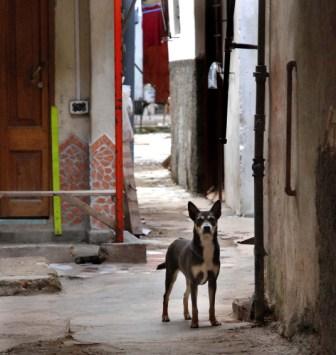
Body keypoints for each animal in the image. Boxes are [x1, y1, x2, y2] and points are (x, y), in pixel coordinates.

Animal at [157, 202, 222, 330]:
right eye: (199, 220)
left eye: (212, 219)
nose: (206, 227)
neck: (206, 247)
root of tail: (176, 240)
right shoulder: (194, 281)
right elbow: (195, 306)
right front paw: (195, 323)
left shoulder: (212, 281)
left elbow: (211, 305)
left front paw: (213, 321)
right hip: (171, 275)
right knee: (166, 296)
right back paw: (165, 316)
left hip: (188, 279)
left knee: (185, 295)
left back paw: (186, 314)